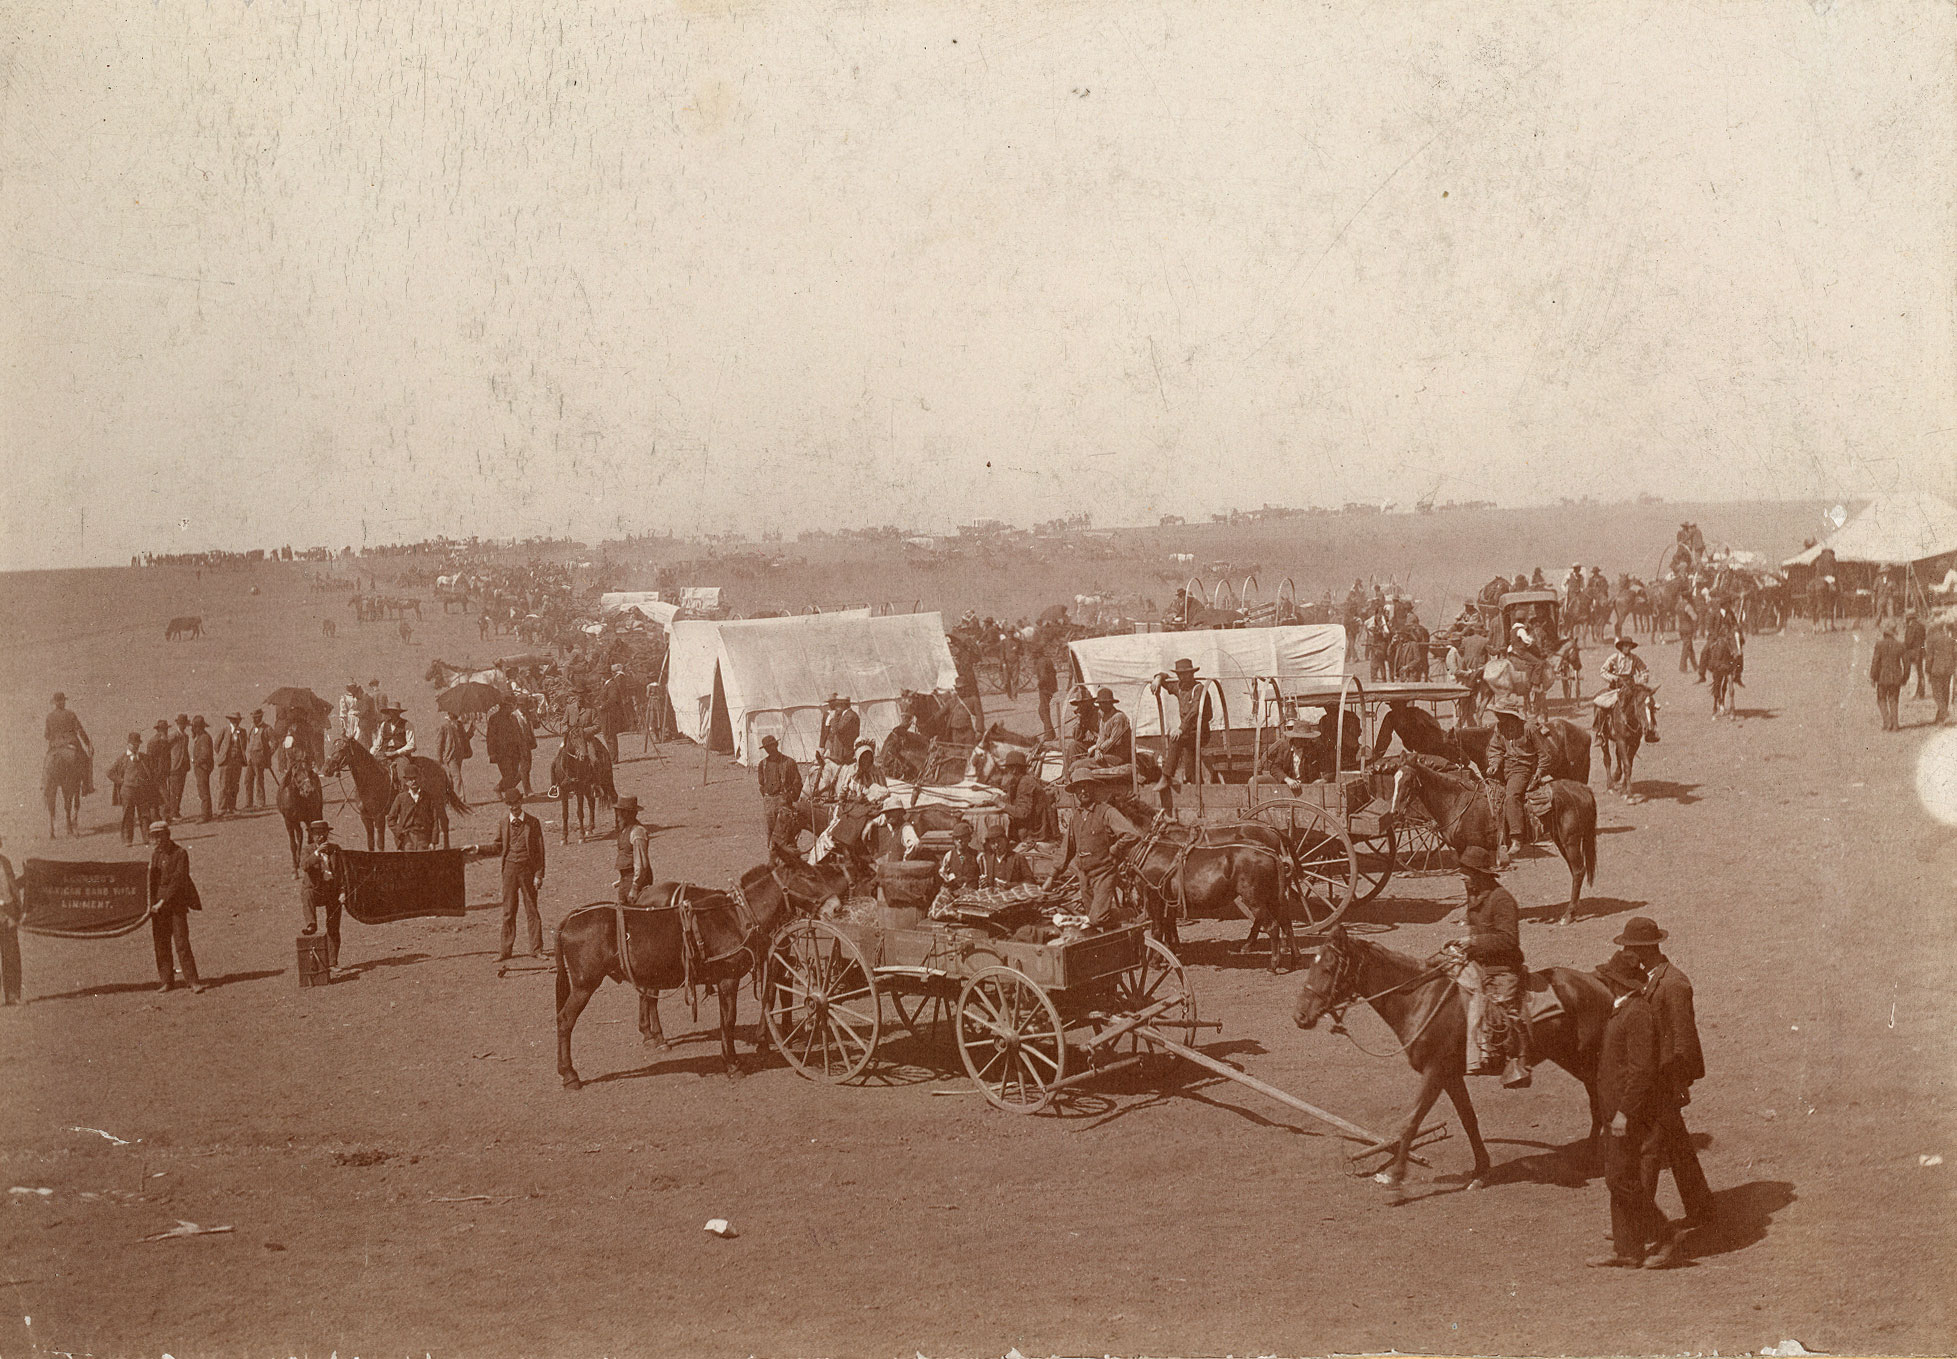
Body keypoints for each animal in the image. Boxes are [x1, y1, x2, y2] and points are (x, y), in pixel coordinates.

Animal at [326, 736, 471, 853]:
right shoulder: (365, 817)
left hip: (439, 803)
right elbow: (370, 843)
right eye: (332, 747)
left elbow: (380, 843)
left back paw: (446, 848)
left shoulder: (379, 817)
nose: (326, 769)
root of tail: (440, 768)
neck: (371, 780)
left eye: (341, 749)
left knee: (444, 823)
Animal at [555, 861, 853, 1096]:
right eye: (809, 876)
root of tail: (570, 919)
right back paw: (570, 1075)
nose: (836, 907)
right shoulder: (728, 980)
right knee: (565, 1021)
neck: (737, 917)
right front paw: (733, 1064)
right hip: (583, 986)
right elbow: (729, 1020)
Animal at [1299, 928, 1604, 1190]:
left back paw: (1593, 1153)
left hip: (1584, 1058)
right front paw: (1481, 1172)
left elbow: (1411, 1122)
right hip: (1571, 1058)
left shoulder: (1434, 1072)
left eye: (1327, 969)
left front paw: (1394, 1177)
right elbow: (1468, 1119)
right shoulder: (1450, 1075)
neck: (1420, 1000)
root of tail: (1597, 982)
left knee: (1599, 1098)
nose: (1300, 1016)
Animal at [1385, 755, 1596, 928]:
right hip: (1561, 840)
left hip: (1570, 841)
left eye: (1408, 780)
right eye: (1394, 779)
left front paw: (1468, 917)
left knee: (1578, 871)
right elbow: (1470, 879)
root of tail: (1584, 789)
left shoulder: (1471, 847)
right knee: (1575, 871)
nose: (1395, 812)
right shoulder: (1461, 850)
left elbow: (1471, 880)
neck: (1456, 802)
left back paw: (1567, 916)